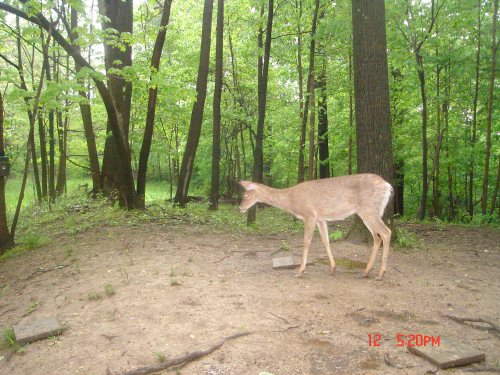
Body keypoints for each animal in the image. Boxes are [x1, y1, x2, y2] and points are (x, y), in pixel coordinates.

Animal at [239, 175, 394, 280]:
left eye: (246, 195)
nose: (240, 208)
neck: (290, 200)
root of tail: (387, 186)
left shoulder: (309, 215)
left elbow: (306, 241)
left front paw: (300, 271)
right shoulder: (321, 218)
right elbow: (325, 240)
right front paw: (333, 268)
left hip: (369, 210)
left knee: (386, 232)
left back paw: (381, 273)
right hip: (369, 212)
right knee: (377, 236)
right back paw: (366, 271)